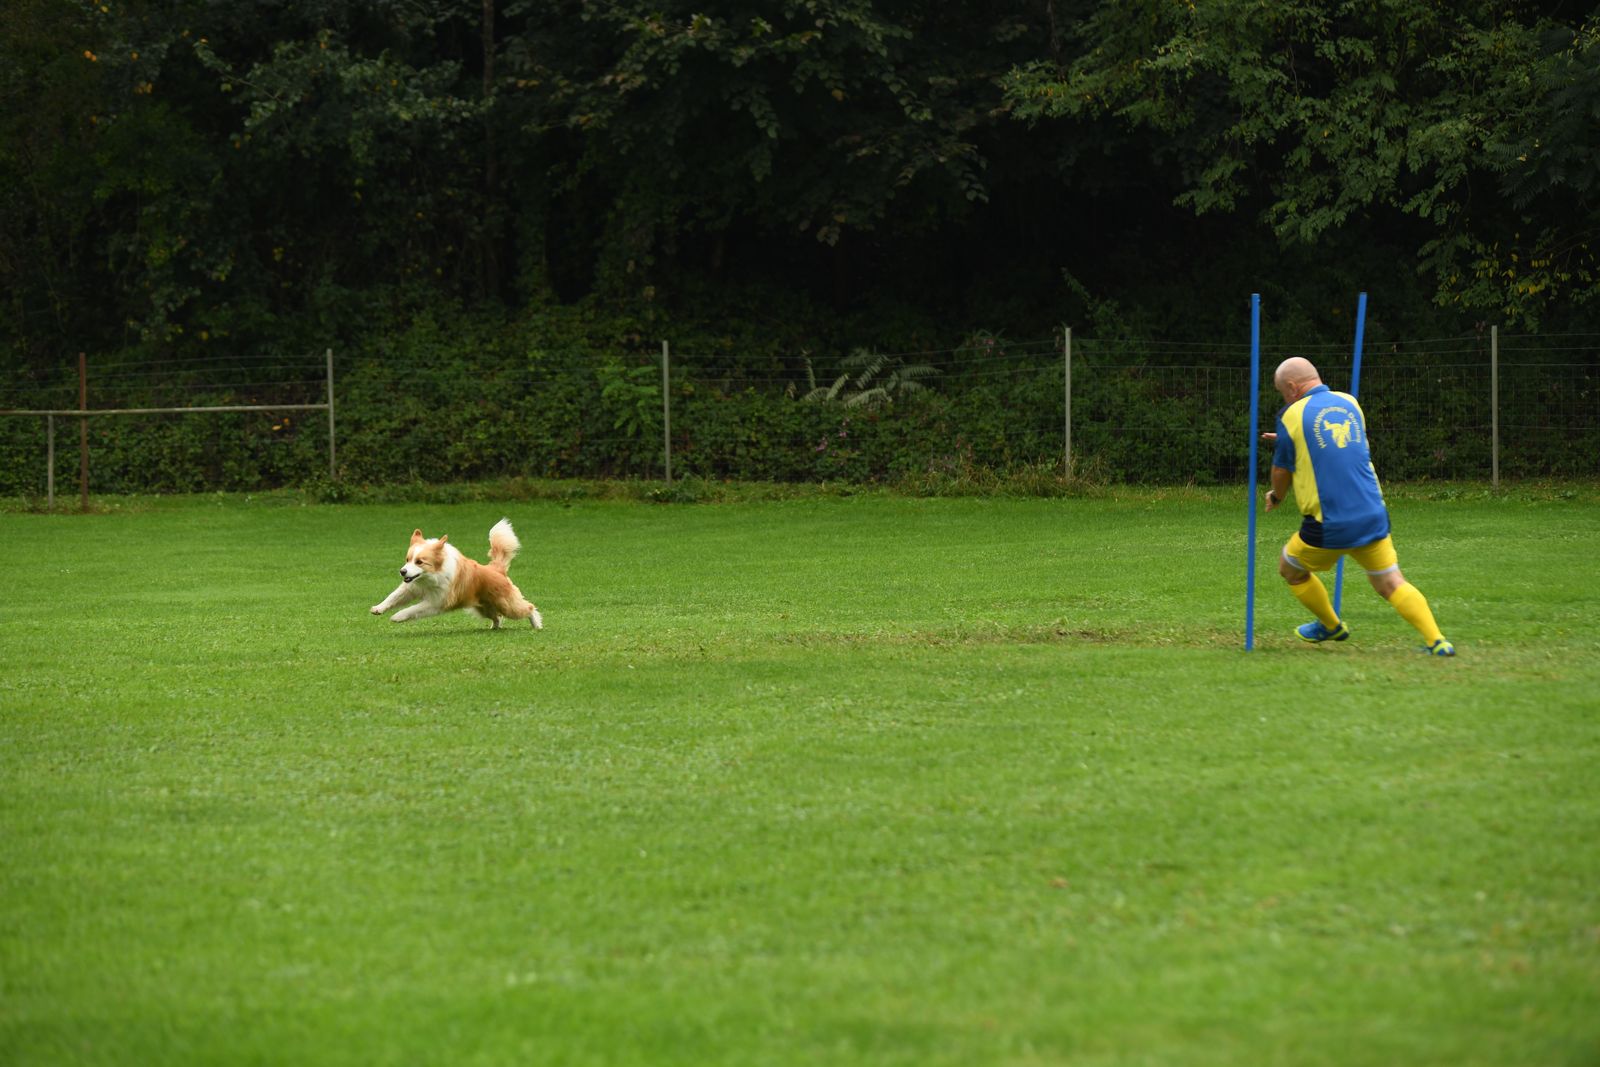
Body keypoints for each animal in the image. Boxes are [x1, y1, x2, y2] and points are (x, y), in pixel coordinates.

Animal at [370, 518, 543, 630]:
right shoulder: (411, 587)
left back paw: (536, 625)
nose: (402, 571)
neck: (430, 577)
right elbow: (393, 596)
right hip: (484, 608)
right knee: (497, 617)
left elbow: (414, 609)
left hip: (507, 605)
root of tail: (496, 569)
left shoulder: (437, 601)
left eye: (419, 562)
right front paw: (378, 608)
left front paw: (397, 616)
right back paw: (494, 627)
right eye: (407, 559)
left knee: (528, 607)